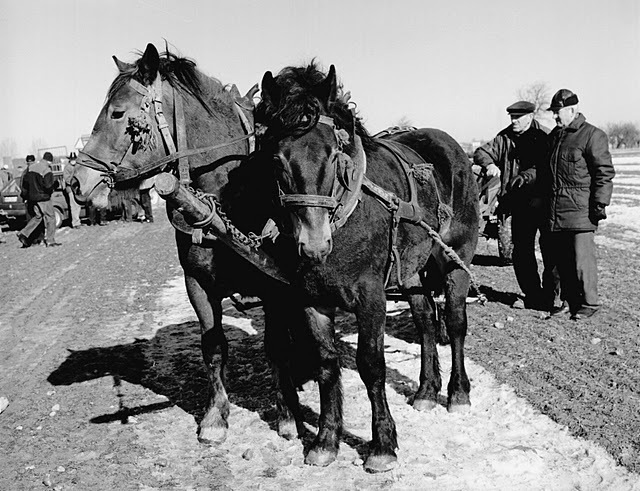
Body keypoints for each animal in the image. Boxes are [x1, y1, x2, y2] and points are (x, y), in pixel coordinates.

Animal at [72, 43, 312, 446]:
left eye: (118, 112)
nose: (75, 181)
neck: (229, 196)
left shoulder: (274, 285)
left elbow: (275, 346)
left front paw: (288, 413)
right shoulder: (197, 283)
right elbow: (213, 348)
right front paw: (215, 417)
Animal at [258, 62, 478, 472]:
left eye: (333, 155)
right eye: (276, 159)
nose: (314, 244)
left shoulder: (371, 296)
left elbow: (371, 365)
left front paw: (382, 444)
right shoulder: (312, 299)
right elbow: (326, 365)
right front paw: (326, 440)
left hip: (454, 260)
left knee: (455, 323)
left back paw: (457, 393)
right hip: (410, 271)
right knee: (426, 322)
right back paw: (427, 390)